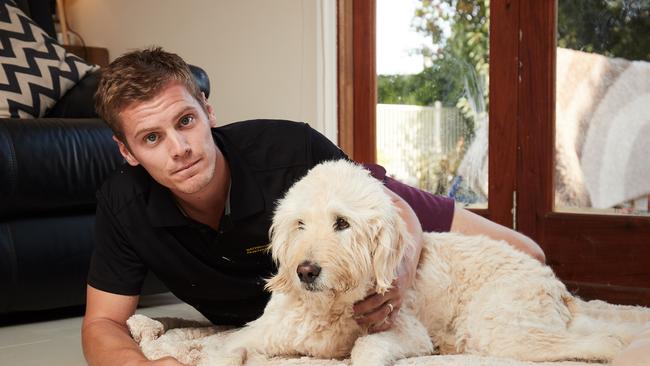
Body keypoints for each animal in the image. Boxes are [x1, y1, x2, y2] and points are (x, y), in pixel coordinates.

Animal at [197, 161, 648, 366]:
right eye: (300, 224)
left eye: (342, 223)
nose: (304, 271)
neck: (330, 309)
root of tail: (552, 282)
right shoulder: (258, 334)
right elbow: (219, 350)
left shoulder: (403, 332)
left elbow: (366, 347)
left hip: (501, 330)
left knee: (603, 342)